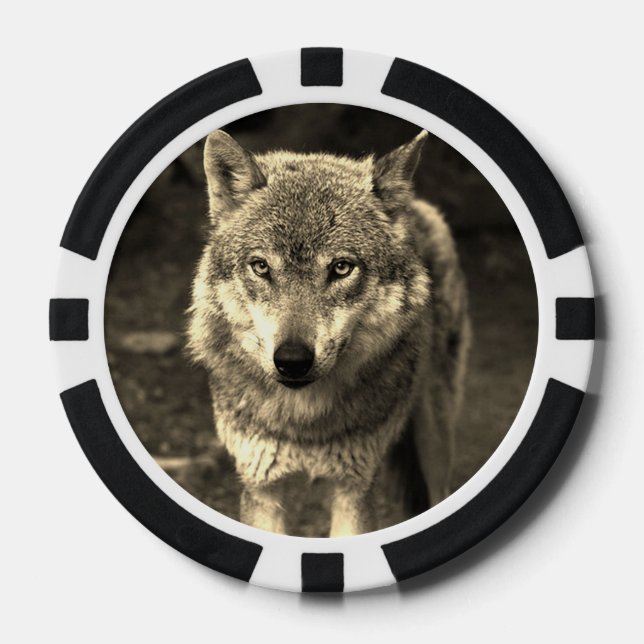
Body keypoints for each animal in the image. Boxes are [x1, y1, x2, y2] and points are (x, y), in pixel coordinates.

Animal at [187, 128, 470, 537]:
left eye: (341, 268)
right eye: (261, 266)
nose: (292, 360)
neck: (304, 423)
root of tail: (414, 206)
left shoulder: (354, 488)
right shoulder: (262, 487)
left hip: (435, 438)